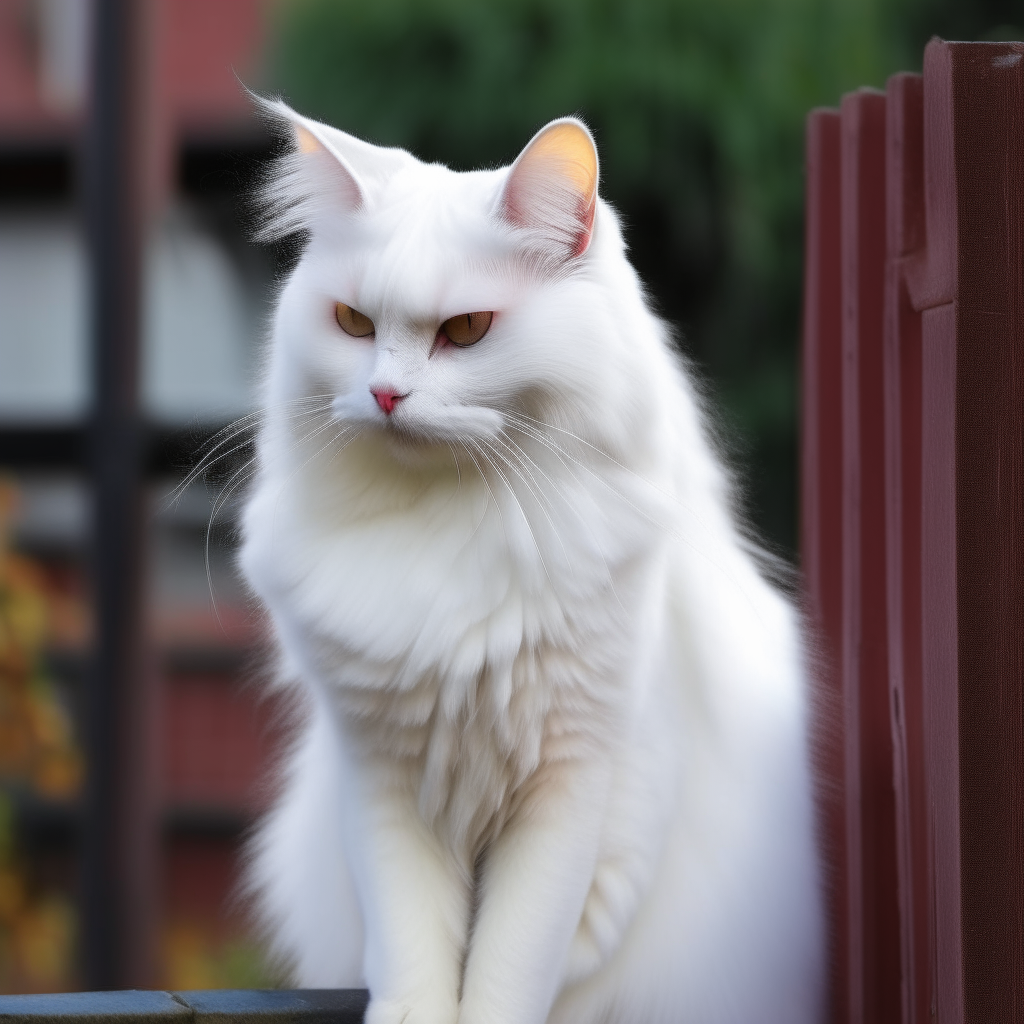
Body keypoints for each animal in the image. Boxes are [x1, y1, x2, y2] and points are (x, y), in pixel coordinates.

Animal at [239, 97, 823, 1024]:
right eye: (355, 324)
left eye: (466, 331)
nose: (385, 394)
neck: (453, 531)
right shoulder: (381, 781)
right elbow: (411, 958)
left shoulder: (582, 792)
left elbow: (514, 966)